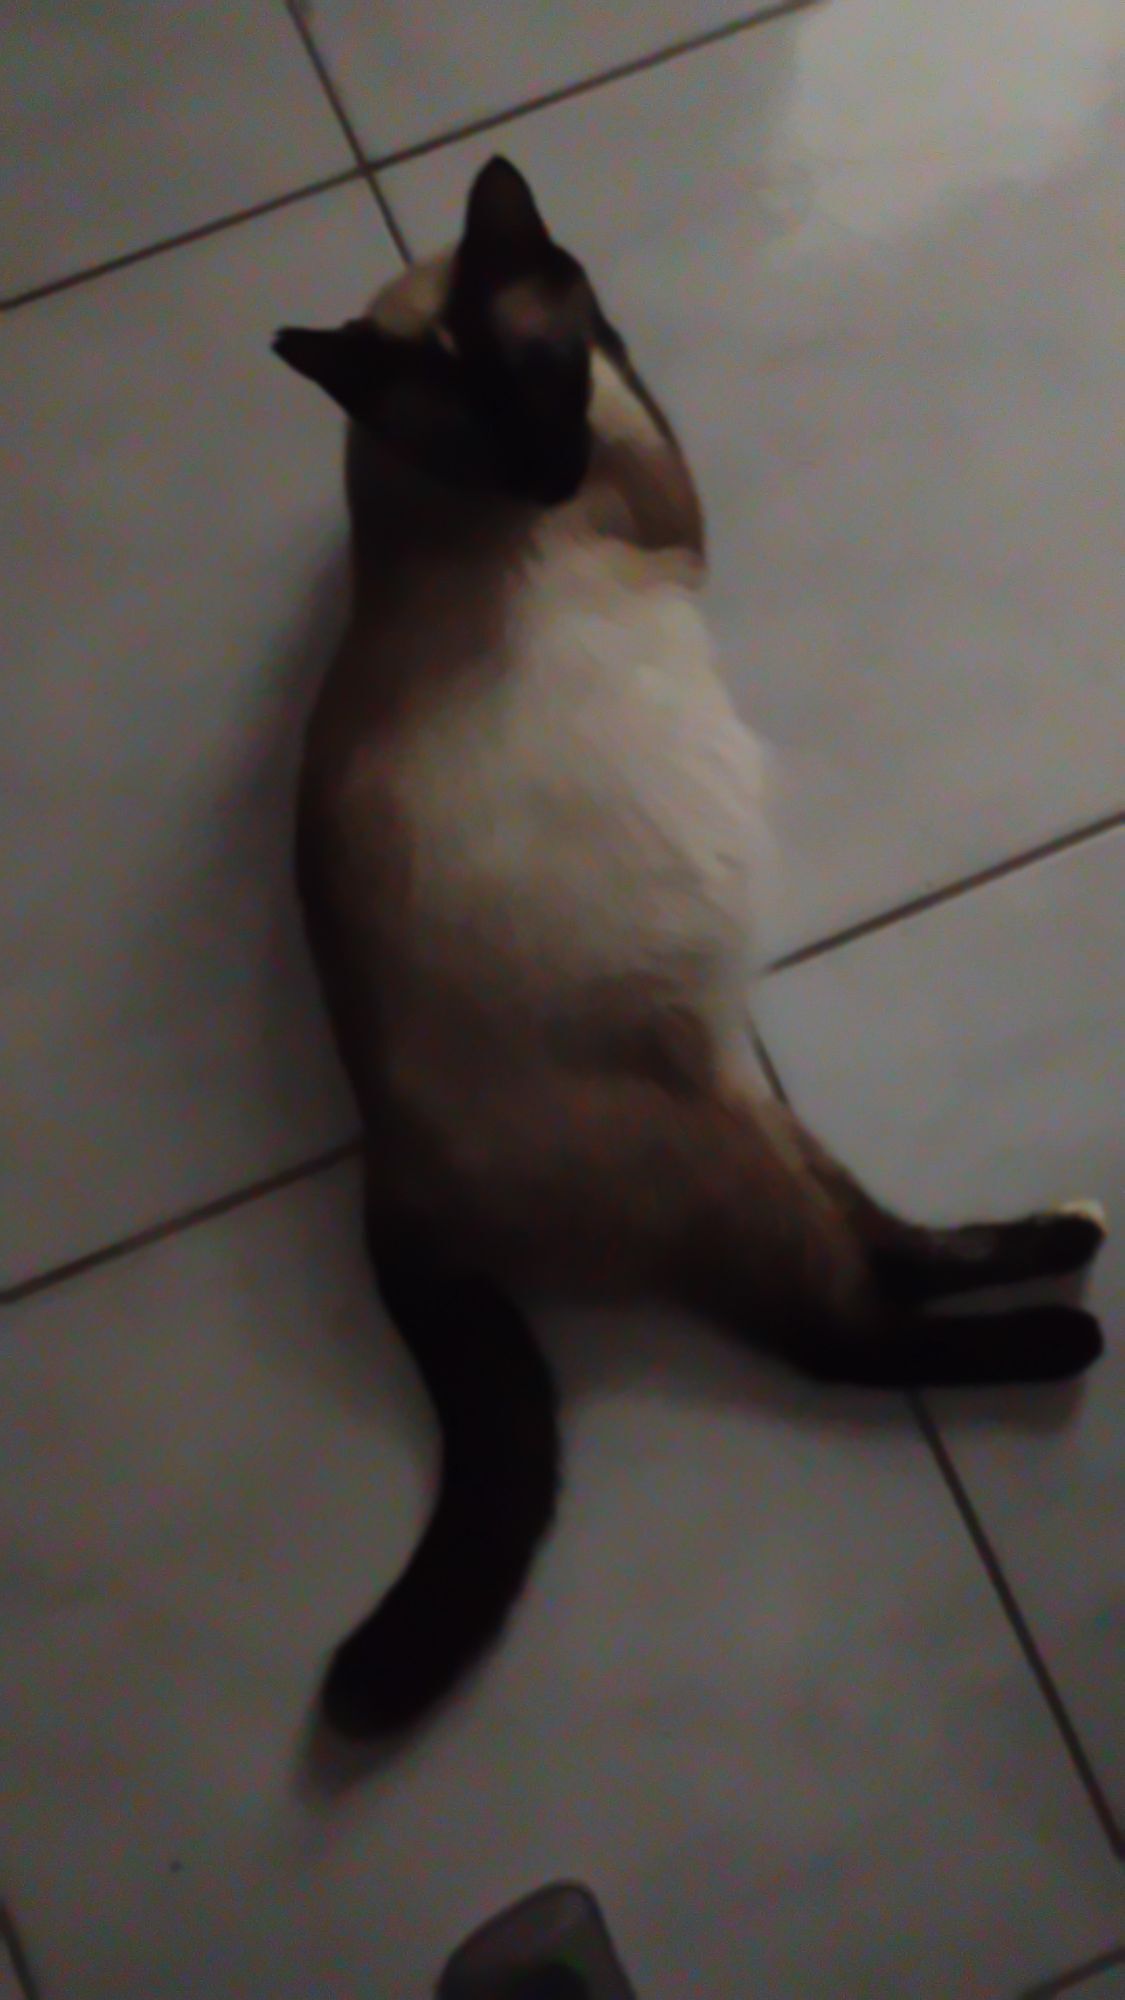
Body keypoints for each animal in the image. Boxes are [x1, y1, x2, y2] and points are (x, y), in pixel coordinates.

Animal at [274, 157, 1106, 1741]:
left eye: (532, 380)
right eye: (481, 422)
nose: (544, 473)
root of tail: (382, 1168)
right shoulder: (665, 495)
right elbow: (648, 392)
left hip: (752, 1107)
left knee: (887, 1247)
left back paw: (1064, 1240)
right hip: (719, 1152)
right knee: (841, 1334)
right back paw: (1062, 1339)